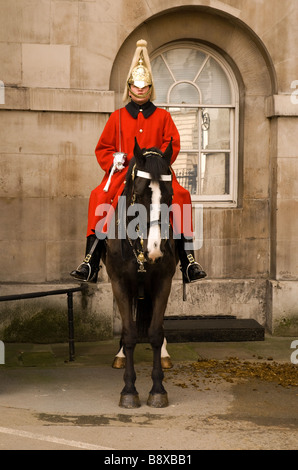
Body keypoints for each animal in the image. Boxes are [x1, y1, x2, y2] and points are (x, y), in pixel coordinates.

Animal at [102, 137, 177, 408]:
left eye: (169, 193)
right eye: (141, 193)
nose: (155, 249)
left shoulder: (164, 282)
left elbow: (155, 333)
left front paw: (157, 389)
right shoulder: (120, 283)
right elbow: (130, 334)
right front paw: (129, 389)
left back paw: (164, 353)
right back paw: (120, 354)